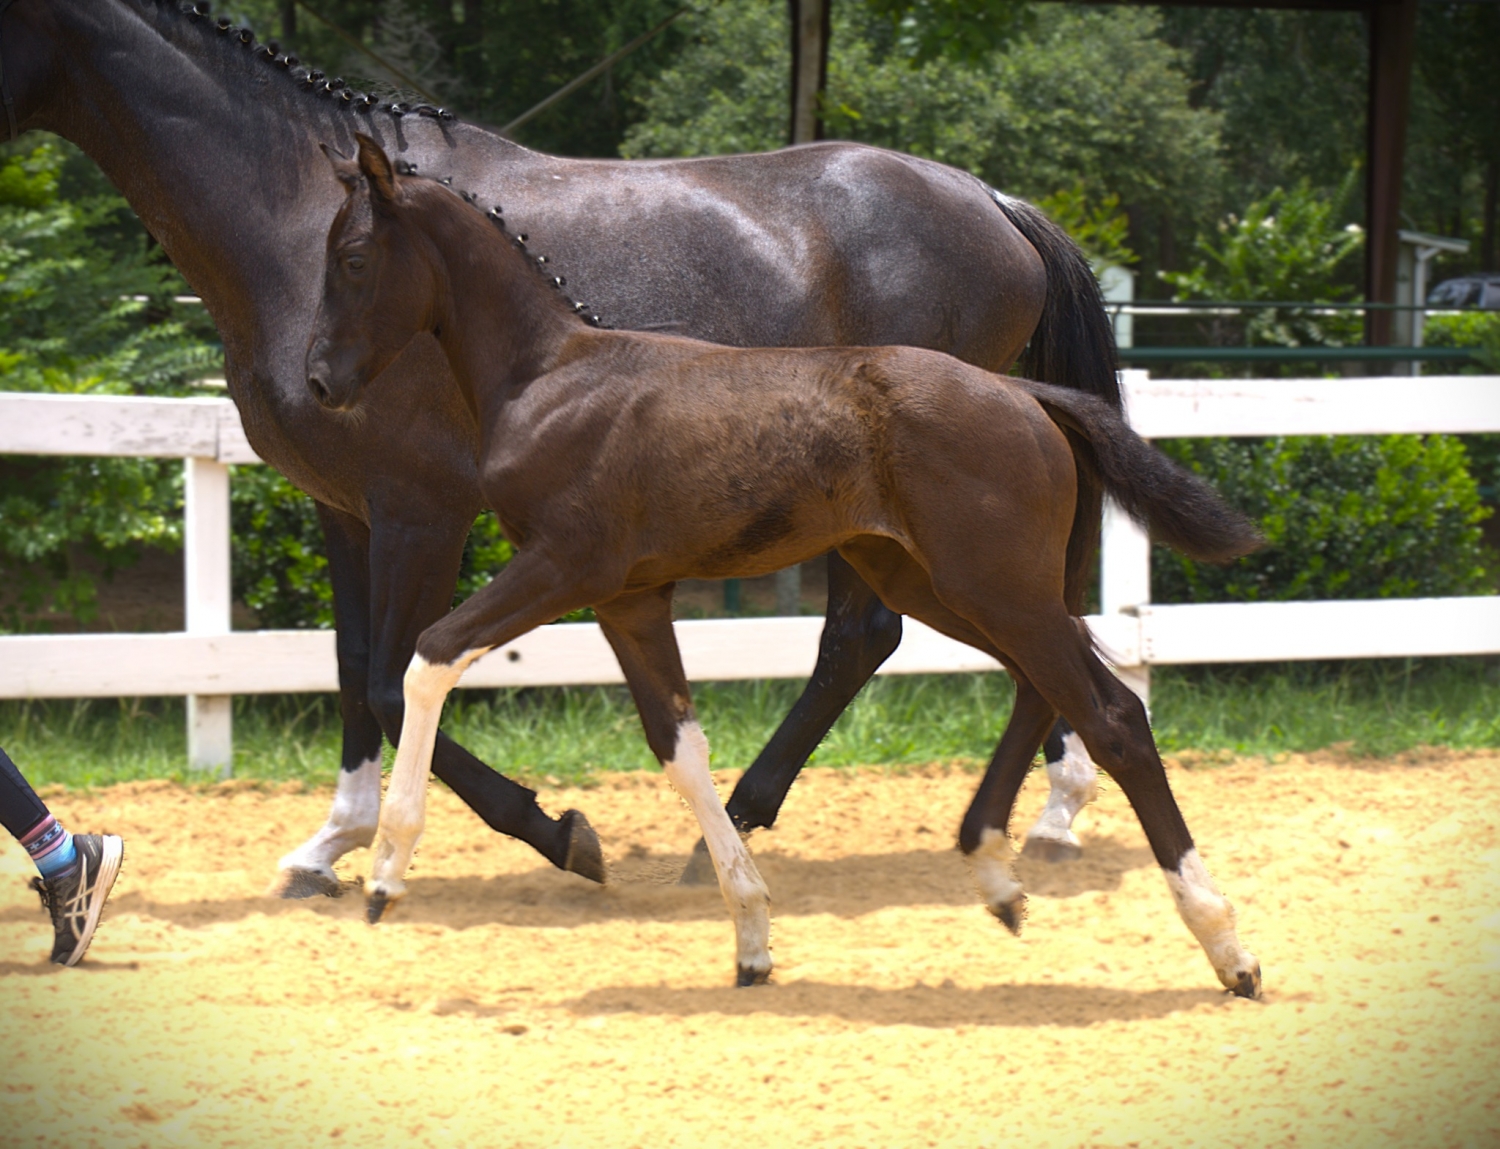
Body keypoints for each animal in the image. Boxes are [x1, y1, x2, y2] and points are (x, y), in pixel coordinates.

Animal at [3, 0, 1114, 890]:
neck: (294, 221)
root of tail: (994, 201)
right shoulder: (344, 509)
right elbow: (353, 665)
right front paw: (332, 844)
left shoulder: (422, 510)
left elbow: (394, 673)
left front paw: (557, 831)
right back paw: (1040, 808)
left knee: (868, 637)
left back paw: (738, 825)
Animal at [305, 134, 1264, 997]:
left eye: (352, 257)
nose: (317, 382)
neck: (548, 375)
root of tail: (1026, 393)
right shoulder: (630, 600)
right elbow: (679, 745)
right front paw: (751, 935)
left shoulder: (563, 566)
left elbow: (426, 656)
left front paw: (386, 872)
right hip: (939, 582)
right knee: (1041, 687)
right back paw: (996, 872)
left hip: (995, 585)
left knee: (1113, 715)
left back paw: (1228, 948)